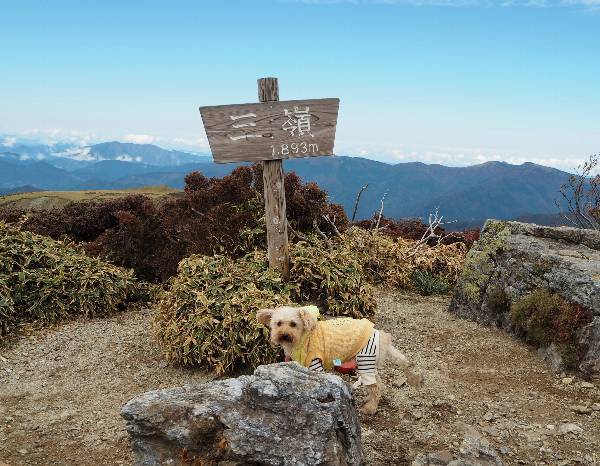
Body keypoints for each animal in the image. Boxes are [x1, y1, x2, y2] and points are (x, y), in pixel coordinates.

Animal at [256, 306, 422, 416]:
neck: (302, 338)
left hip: (365, 360)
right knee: (378, 384)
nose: (284, 335)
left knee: (375, 386)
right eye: (278, 323)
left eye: (293, 324)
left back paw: (370, 408)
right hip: (367, 363)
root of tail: (381, 336)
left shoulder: (315, 363)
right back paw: (369, 400)